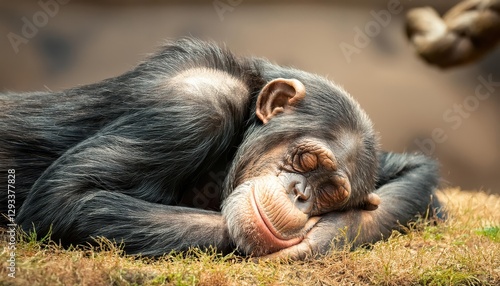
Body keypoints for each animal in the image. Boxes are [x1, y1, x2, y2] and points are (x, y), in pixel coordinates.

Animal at [0, 36, 440, 258]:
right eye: (306, 160)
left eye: (330, 191)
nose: (300, 194)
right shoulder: (197, 108)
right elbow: (68, 197)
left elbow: (423, 180)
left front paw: (332, 232)